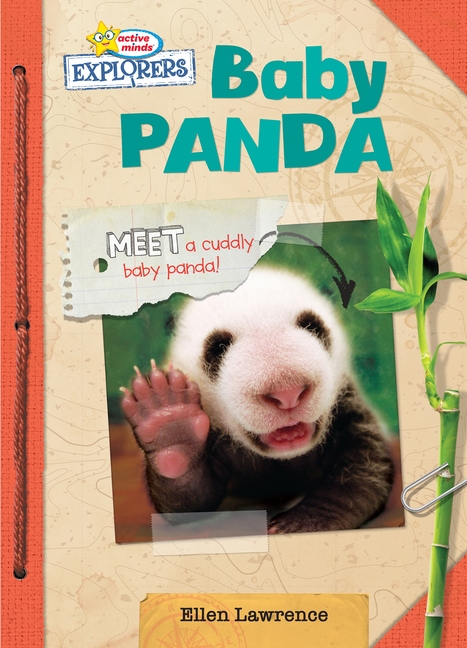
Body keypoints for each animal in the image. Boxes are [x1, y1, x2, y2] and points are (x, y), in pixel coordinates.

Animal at [121, 266, 394, 533]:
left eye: (313, 326)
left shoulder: (347, 404)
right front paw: (170, 423)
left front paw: (302, 522)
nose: (287, 392)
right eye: (218, 347)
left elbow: (363, 470)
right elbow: (189, 498)